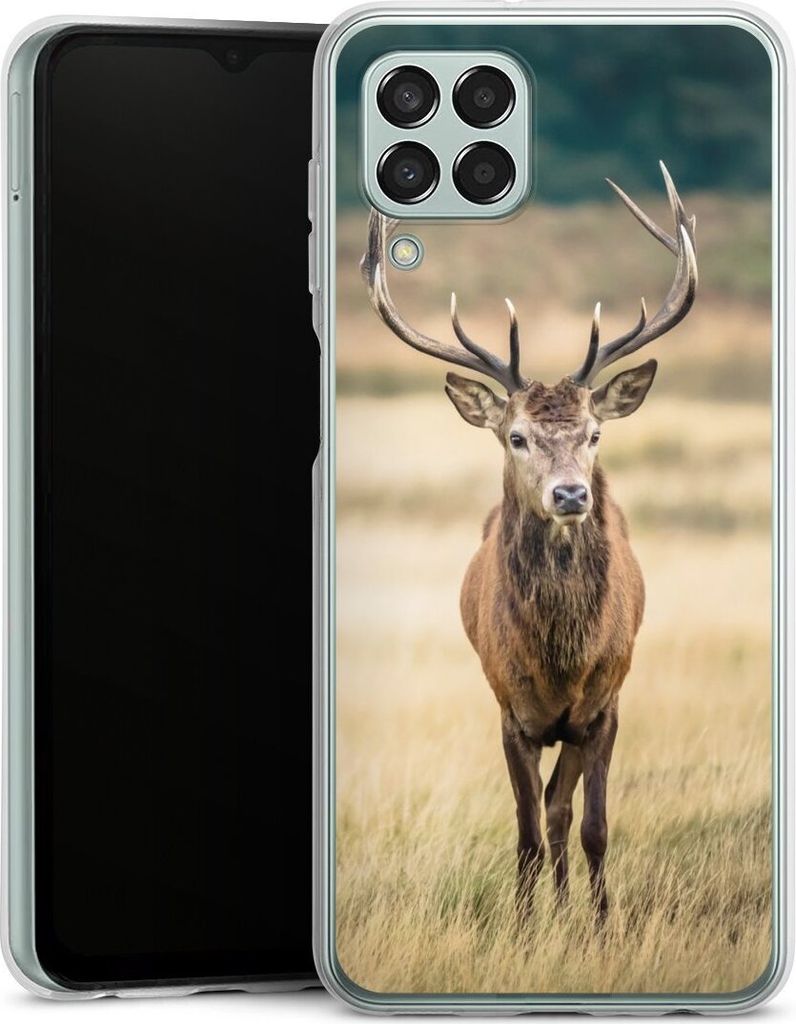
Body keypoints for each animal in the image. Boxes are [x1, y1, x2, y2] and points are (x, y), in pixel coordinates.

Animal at [360, 162, 697, 922]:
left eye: (595, 434)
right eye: (516, 437)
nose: (571, 494)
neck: (560, 661)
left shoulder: (604, 706)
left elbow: (591, 825)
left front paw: (600, 925)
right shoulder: (509, 711)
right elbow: (524, 834)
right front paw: (521, 925)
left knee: (562, 810)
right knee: (544, 813)